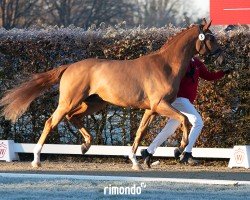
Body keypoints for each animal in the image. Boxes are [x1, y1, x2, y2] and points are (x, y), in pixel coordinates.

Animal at [0, 18, 223, 170]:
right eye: (210, 37)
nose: (221, 56)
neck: (166, 65)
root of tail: (69, 66)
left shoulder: (151, 109)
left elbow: (140, 132)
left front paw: (136, 161)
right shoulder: (160, 105)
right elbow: (184, 120)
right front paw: (180, 149)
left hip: (93, 103)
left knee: (73, 117)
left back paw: (86, 145)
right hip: (69, 101)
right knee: (51, 122)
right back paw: (37, 160)